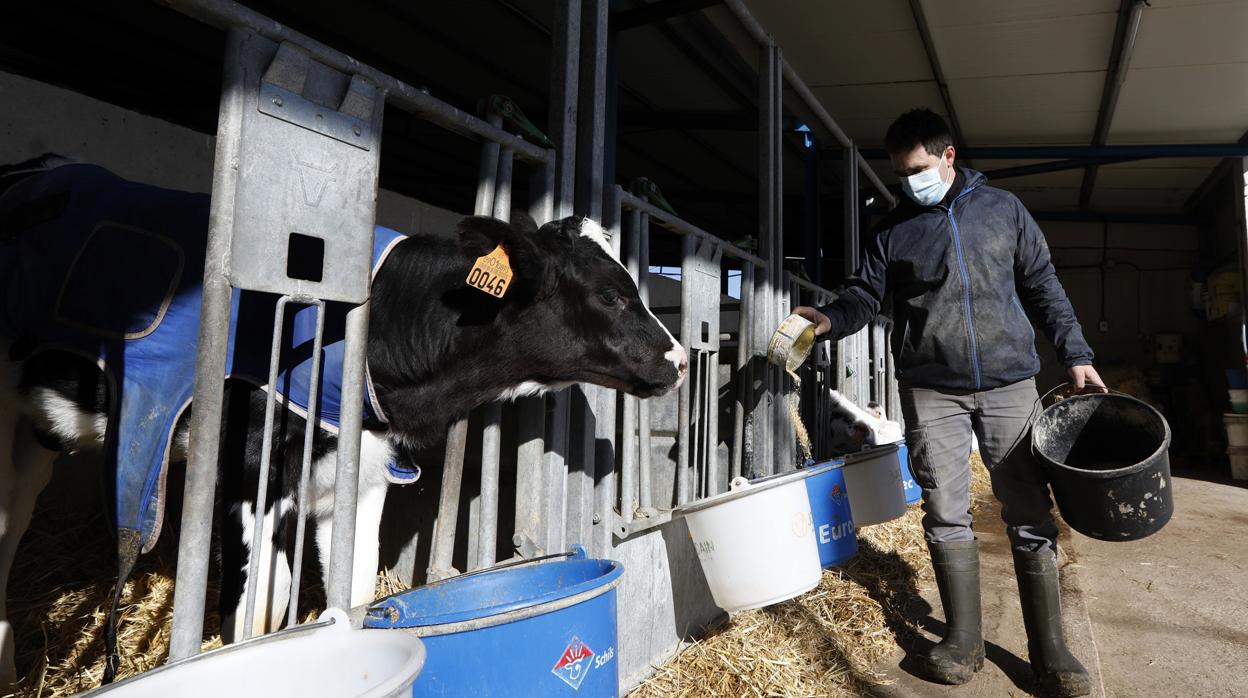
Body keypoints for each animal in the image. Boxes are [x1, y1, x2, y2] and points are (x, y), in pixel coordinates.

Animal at [0, 154, 693, 684]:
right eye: (610, 294)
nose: (681, 360)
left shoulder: (363, 473)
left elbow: (354, 593)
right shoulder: (250, 474)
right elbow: (257, 619)